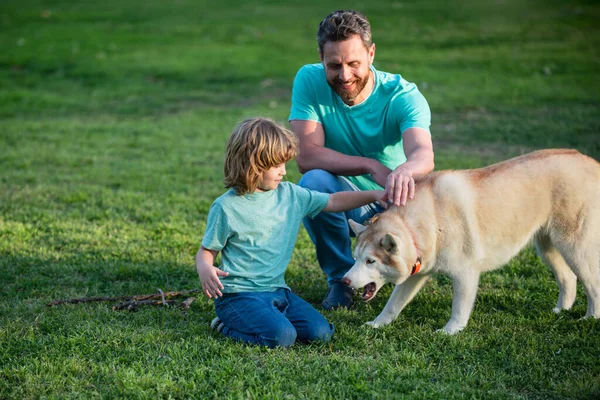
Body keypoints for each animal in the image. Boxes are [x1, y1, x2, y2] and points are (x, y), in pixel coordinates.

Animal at [342, 148, 600, 332]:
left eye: (371, 261)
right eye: (355, 258)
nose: (344, 281)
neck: (429, 219)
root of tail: (589, 161)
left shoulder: (465, 273)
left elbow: (459, 308)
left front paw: (450, 331)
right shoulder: (416, 273)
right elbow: (392, 305)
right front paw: (377, 324)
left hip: (575, 248)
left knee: (593, 285)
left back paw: (590, 318)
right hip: (546, 246)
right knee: (568, 278)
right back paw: (561, 310)